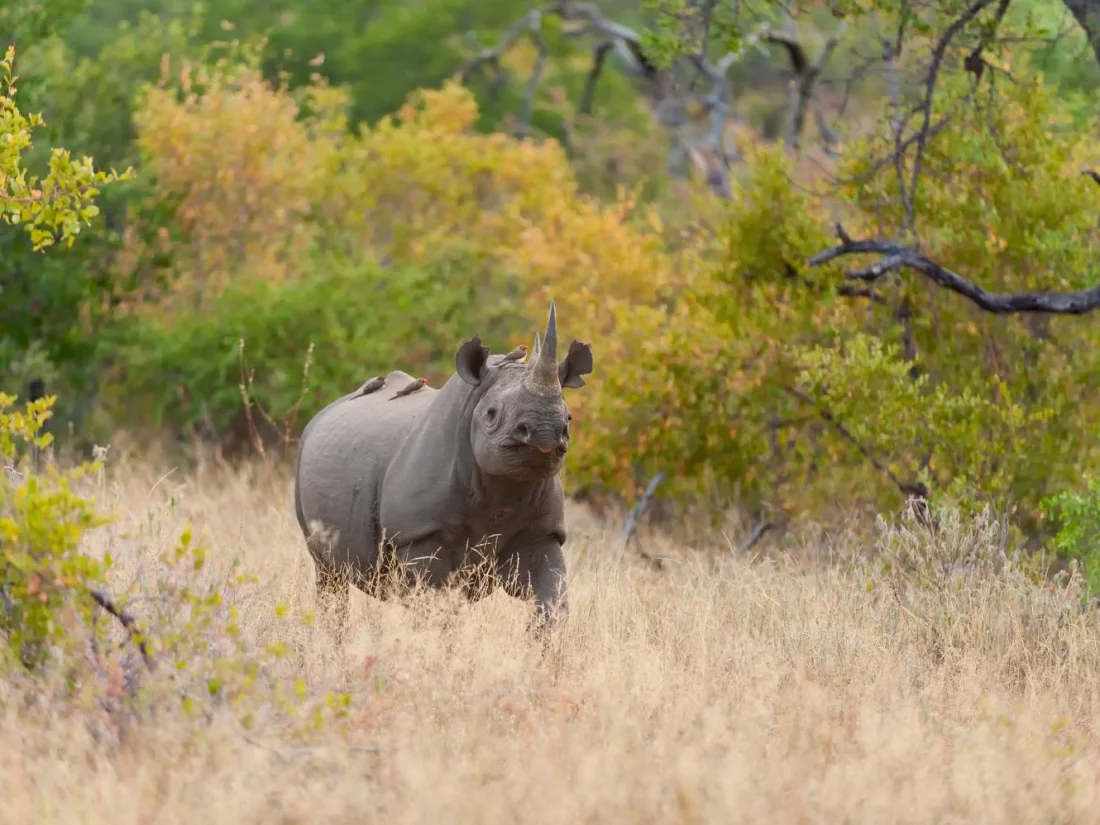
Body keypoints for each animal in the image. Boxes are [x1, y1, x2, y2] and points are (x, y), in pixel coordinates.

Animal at [293, 302, 593, 632]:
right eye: (491, 414)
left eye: (568, 418)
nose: (544, 433)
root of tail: (322, 414)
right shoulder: (420, 532)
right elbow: (432, 606)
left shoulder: (543, 533)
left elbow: (552, 601)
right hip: (304, 459)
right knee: (329, 574)